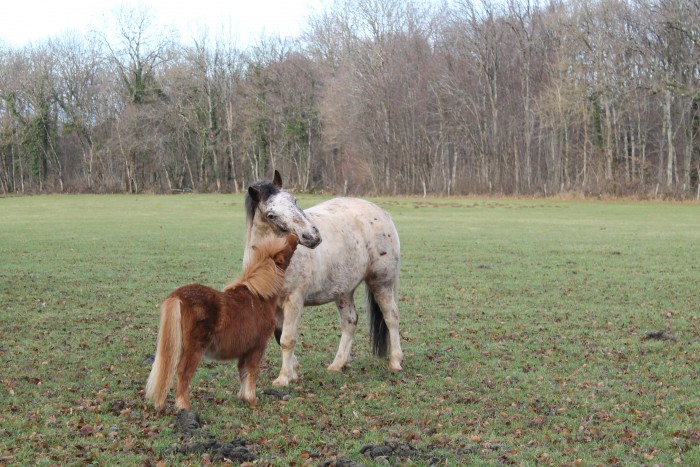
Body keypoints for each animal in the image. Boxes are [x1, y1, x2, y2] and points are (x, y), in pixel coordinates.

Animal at [145, 233, 298, 410]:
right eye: (285, 247)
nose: (294, 236)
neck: (260, 297)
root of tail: (177, 297)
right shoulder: (257, 347)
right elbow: (252, 371)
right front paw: (251, 400)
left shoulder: (245, 349)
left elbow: (242, 372)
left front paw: (242, 398)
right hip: (194, 348)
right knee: (183, 372)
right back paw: (184, 406)